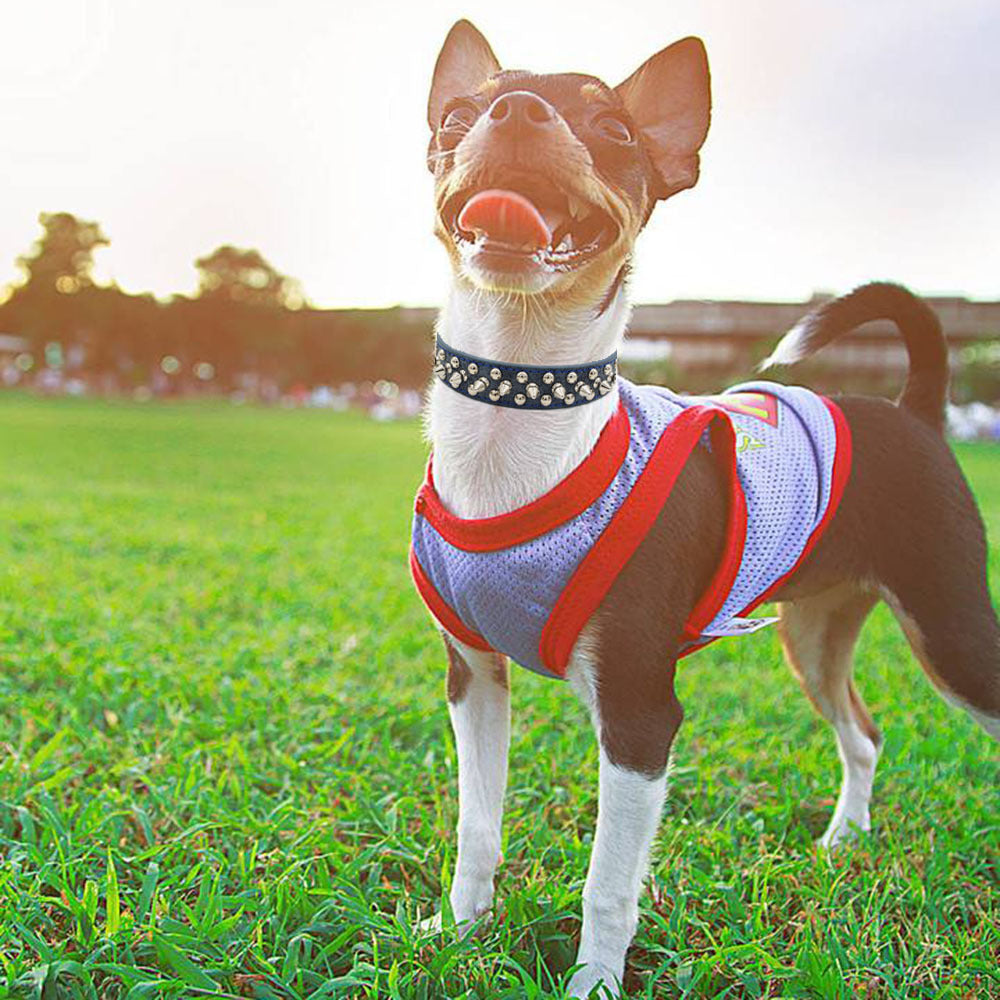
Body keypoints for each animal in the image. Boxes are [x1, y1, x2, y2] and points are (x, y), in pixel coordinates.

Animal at [408, 19, 1000, 996]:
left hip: (949, 629)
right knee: (865, 733)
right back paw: (845, 841)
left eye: (613, 128)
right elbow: (476, 827)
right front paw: (459, 933)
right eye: (457, 115)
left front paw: (593, 983)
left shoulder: (641, 714)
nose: (515, 110)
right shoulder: (475, 681)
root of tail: (914, 408)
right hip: (814, 634)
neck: (517, 422)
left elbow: (608, 881)